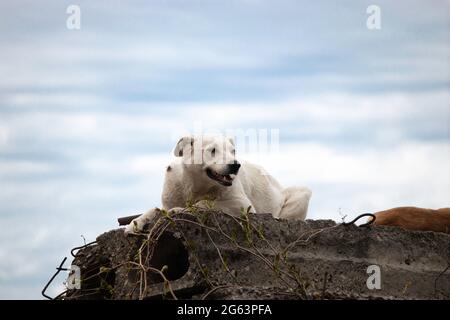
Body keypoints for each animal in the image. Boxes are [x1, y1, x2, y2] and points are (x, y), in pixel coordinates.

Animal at [125, 134, 312, 234]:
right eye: (212, 150)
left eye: (233, 151)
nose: (235, 165)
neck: (196, 183)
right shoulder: (174, 187)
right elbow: (159, 208)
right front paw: (135, 224)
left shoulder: (236, 195)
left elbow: (226, 204)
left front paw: (179, 210)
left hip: (287, 195)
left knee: (301, 193)